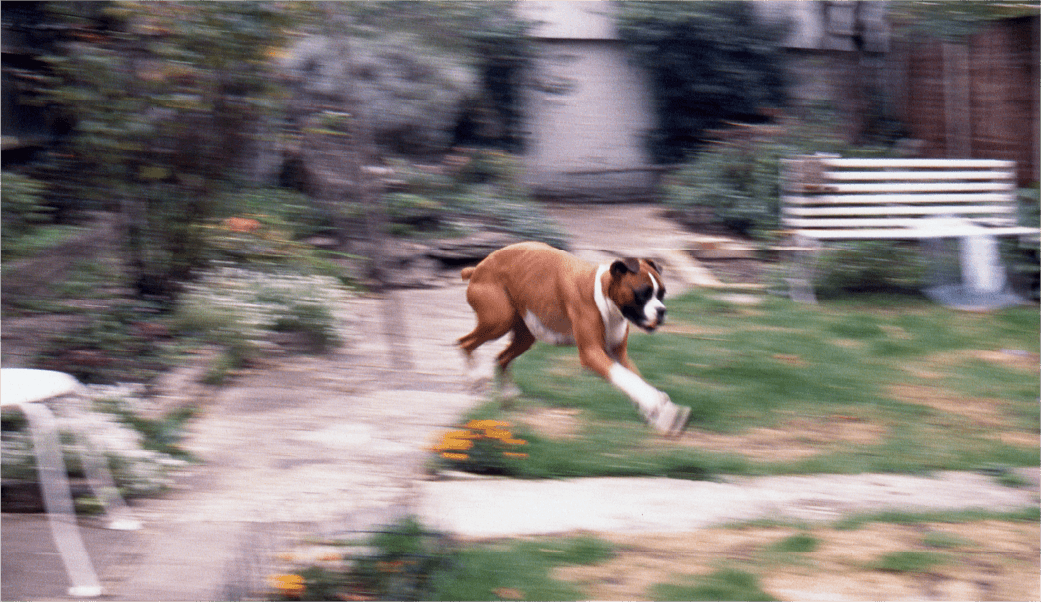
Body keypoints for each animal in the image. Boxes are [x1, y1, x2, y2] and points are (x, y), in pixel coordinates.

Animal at [458, 241, 691, 433]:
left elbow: (635, 379)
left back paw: (507, 394)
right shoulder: (592, 354)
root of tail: (478, 267)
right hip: (498, 321)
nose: (662, 311)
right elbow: (627, 379)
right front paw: (654, 402)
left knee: (501, 358)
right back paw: (474, 377)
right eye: (643, 293)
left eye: (662, 293)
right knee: (465, 343)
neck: (605, 298)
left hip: (525, 336)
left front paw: (663, 414)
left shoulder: (618, 354)